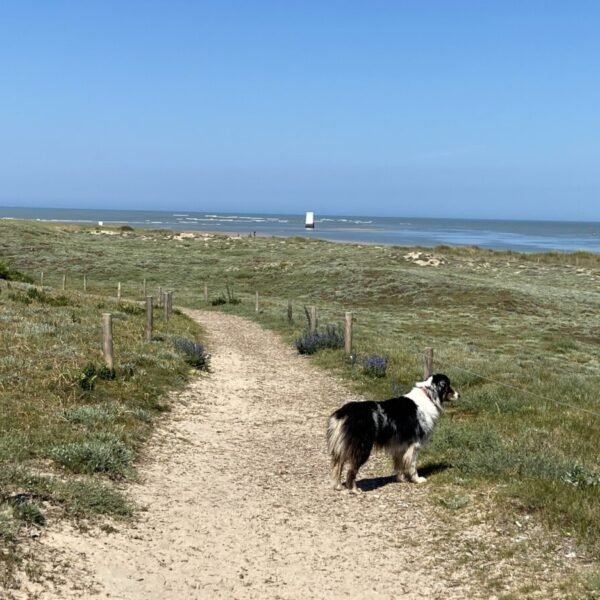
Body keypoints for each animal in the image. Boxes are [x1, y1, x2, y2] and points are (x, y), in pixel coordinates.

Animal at [328, 376, 460, 492]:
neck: (428, 396)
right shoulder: (415, 444)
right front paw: (417, 480)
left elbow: (399, 464)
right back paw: (354, 489)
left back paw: (338, 486)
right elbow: (412, 465)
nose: (459, 395)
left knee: (338, 465)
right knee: (351, 470)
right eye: (448, 386)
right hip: (362, 447)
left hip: (342, 447)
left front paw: (401, 479)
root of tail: (343, 413)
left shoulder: (400, 445)